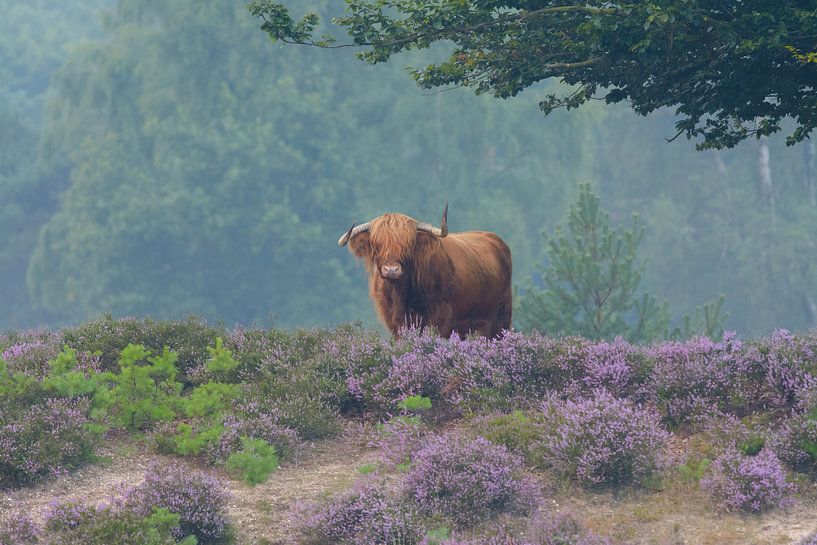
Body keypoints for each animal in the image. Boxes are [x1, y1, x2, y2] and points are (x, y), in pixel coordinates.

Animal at [338, 206, 510, 338]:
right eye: (376, 244)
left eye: (408, 245)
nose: (391, 269)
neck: (402, 295)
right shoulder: (393, 320)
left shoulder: (440, 316)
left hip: (501, 317)